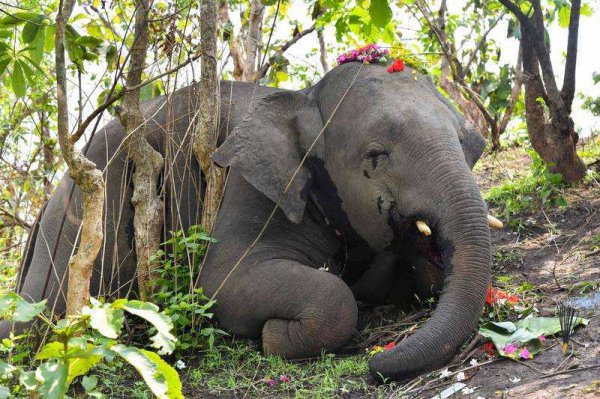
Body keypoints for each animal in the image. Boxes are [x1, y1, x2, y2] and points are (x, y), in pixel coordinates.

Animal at [0, 62, 490, 382]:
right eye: (376, 155)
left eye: (472, 144)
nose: (376, 364)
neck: (303, 97)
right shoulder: (248, 187)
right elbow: (223, 282)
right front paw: (274, 336)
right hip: (79, 218)